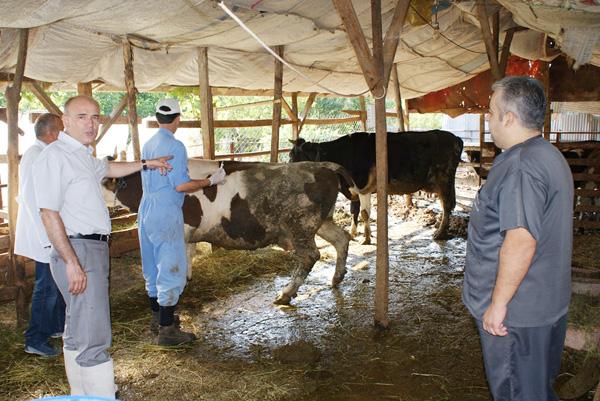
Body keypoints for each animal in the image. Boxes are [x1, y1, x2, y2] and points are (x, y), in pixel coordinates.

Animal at [103, 159, 356, 304]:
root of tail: (323, 165)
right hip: (321, 221)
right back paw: (336, 278)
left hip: (301, 225)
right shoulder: (187, 235)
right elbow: (186, 258)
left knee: (310, 256)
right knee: (342, 239)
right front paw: (185, 282)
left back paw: (285, 294)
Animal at [290, 130, 464, 241]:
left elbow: (364, 213)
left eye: (295, 157)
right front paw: (353, 233)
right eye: (290, 155)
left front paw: (366, 238)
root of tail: (455, 137)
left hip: (444, 180)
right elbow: (354, 211)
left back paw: (440, 233)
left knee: (447, 206)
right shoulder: (354, 190)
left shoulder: (363, 188)